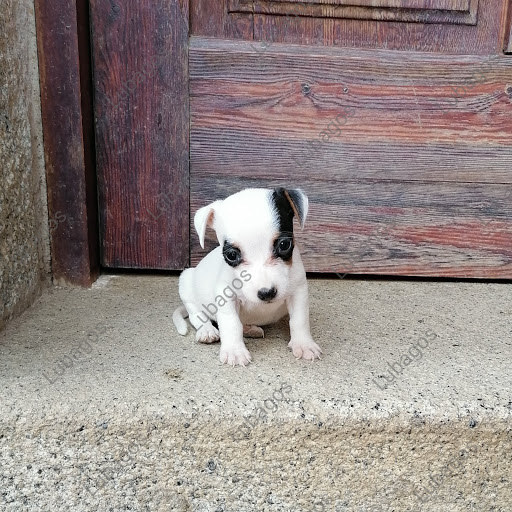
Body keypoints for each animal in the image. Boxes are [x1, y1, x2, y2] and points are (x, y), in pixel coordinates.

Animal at [174, 186, 322, 366]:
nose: (267, 293)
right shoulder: (226, 297)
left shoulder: (298, 291)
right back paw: (207, 330)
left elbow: (299, 320)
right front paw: (234, 351)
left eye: (284, 244)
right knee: (197, 315)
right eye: (231, 255)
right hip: (186, 282)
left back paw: (250, 328)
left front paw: (304, 344)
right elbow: (231, 323)